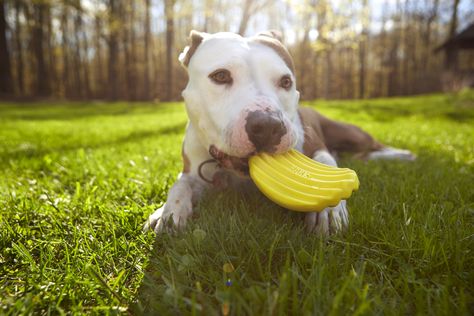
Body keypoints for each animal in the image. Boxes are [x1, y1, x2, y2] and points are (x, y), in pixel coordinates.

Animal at [145, 30, 414, 236]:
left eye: (286, 81)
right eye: (220, 76)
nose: (268, 126)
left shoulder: (316, 144)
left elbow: (327, 162)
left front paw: (328, 209)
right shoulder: (194, 171)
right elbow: (180, 185)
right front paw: (167, 212)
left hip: (347, 131)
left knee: (372, 146)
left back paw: (401, 155)